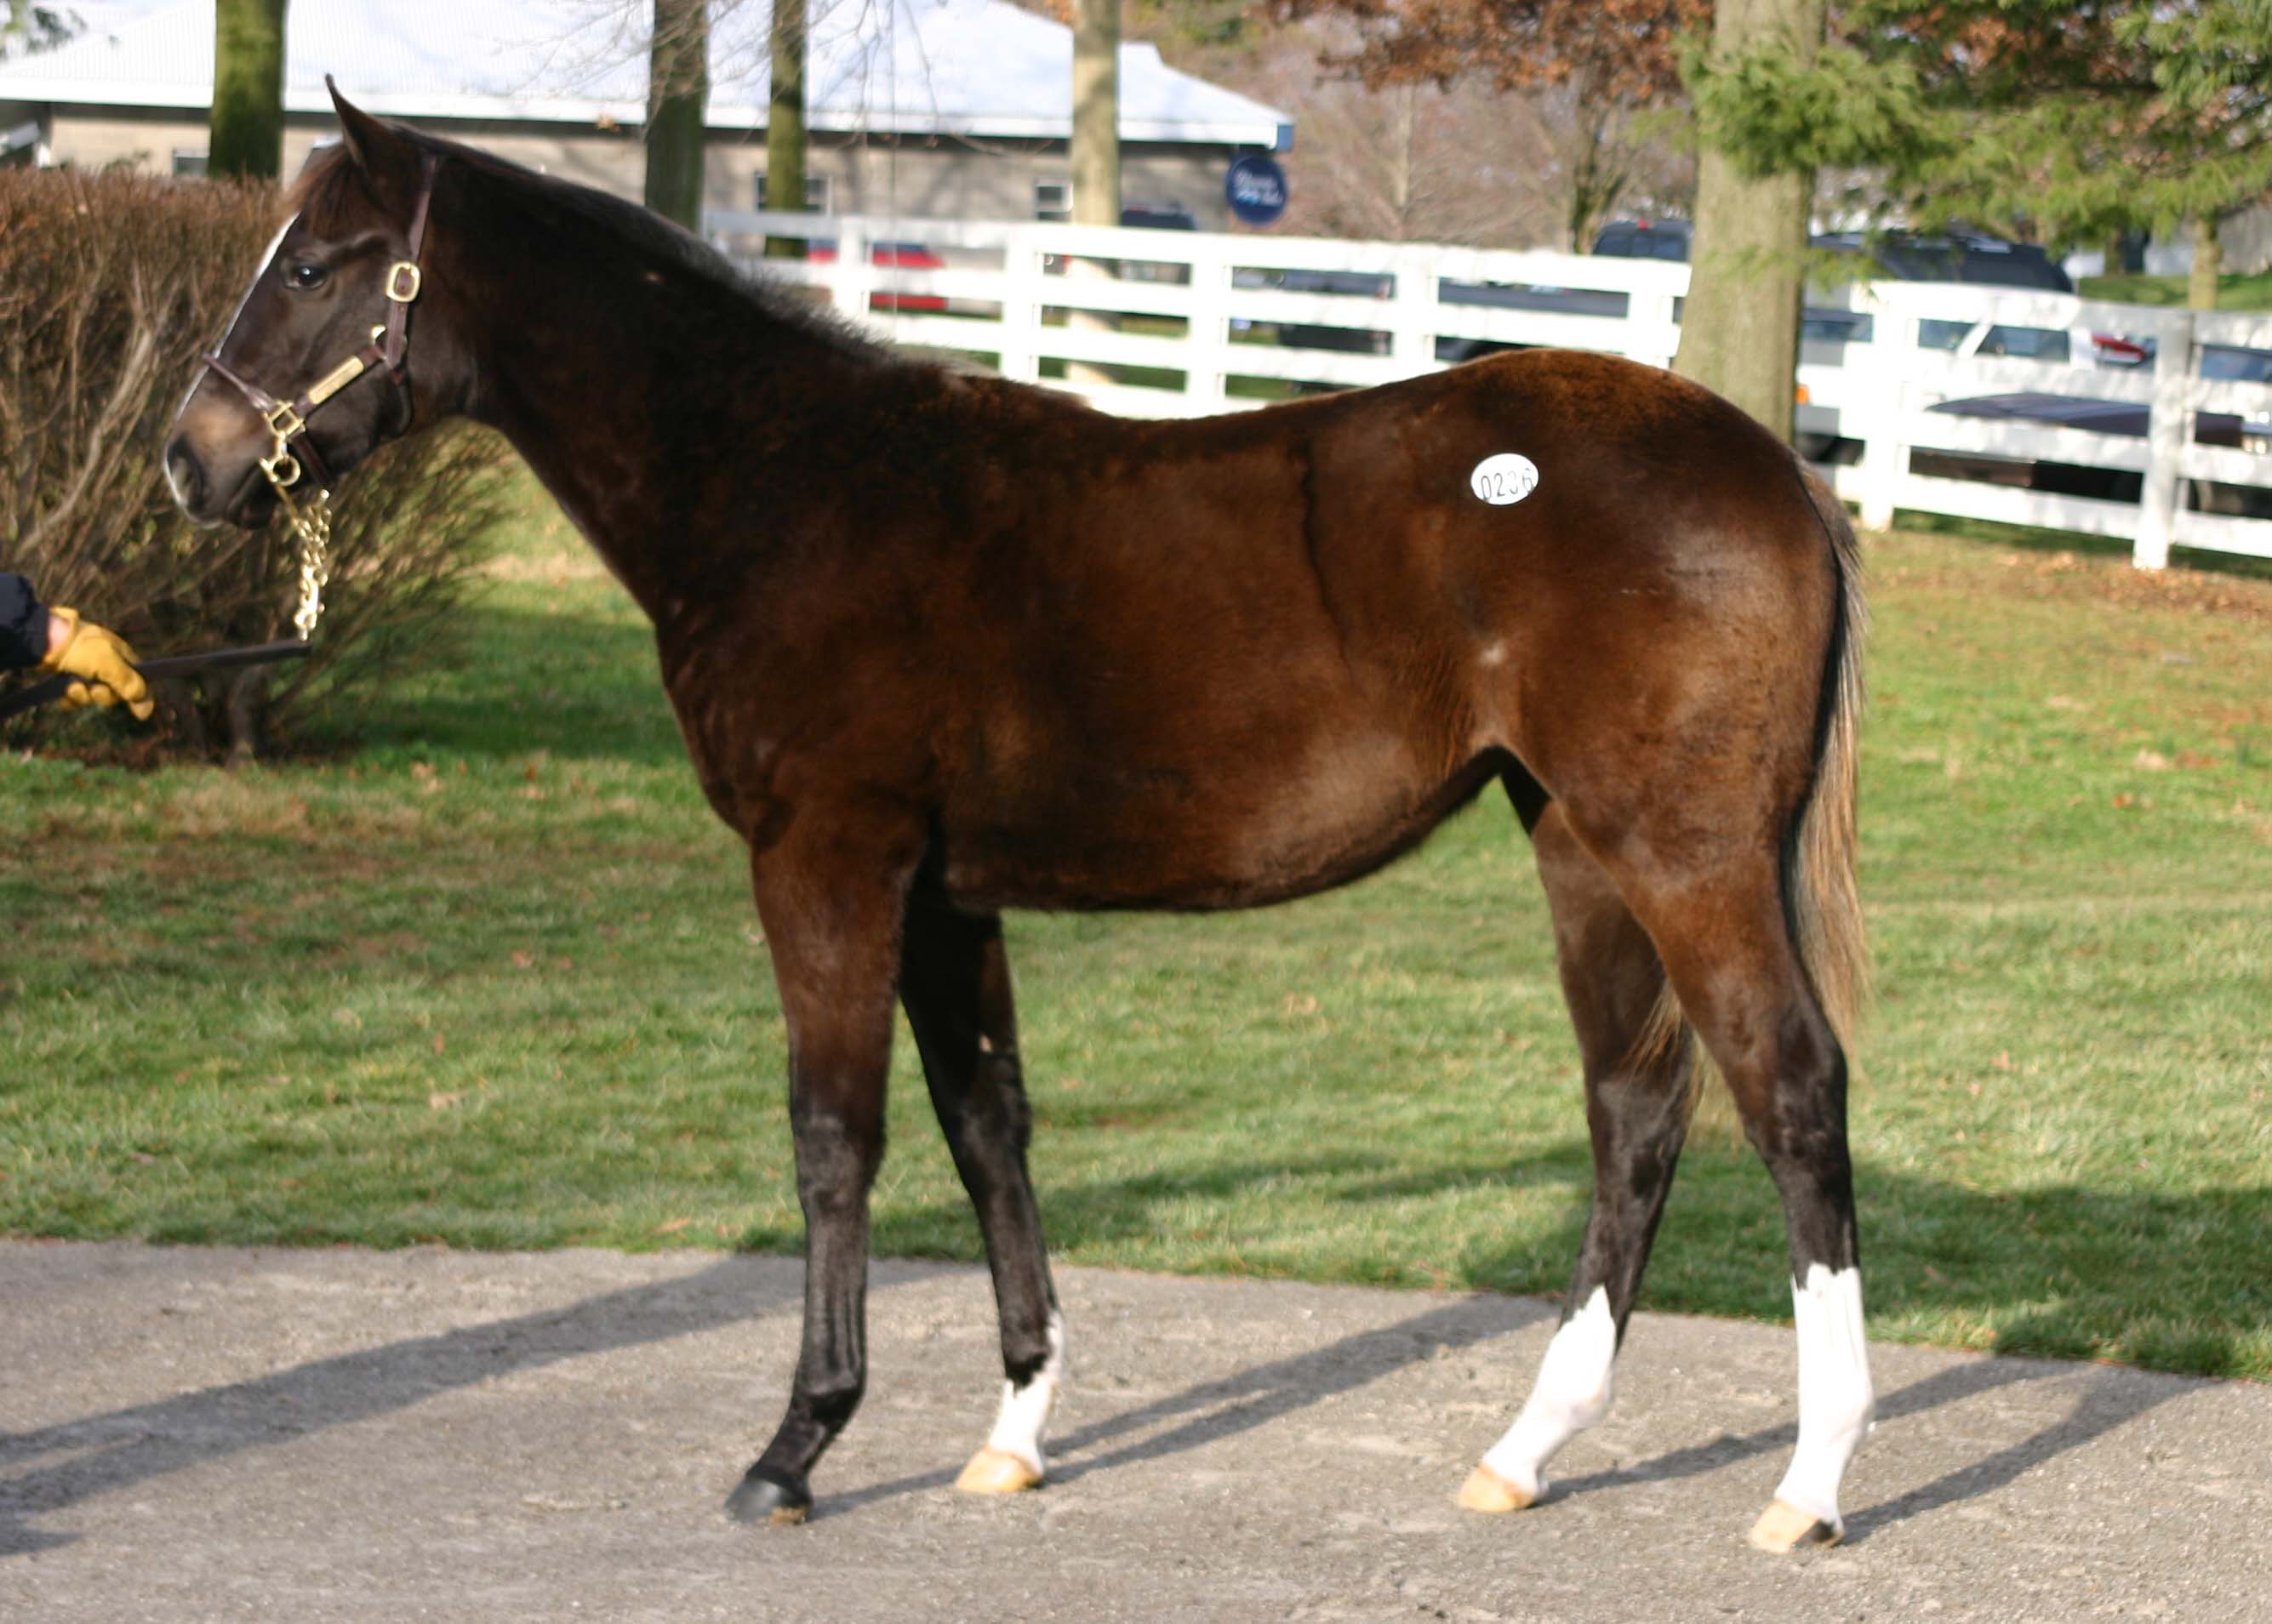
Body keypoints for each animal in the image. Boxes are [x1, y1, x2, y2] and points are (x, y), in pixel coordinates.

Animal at [168, 85, 1872, 1553]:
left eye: (311, 264)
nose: (190, 462)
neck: (785, 486)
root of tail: (1779, 471)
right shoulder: (944, 891)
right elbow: (986, 1123)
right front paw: (1014, 1430)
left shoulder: (828, 862)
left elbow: (835, 1134)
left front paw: (797, 1443)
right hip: (1577, 844)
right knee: (1636, 1109)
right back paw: (1524, 1451)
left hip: (1684, 854)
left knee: (1788, 1086)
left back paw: (1809, 1480)